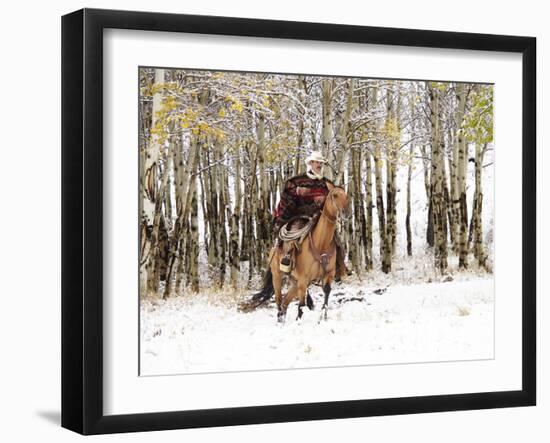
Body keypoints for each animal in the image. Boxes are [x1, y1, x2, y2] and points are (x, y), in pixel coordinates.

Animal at [245, 186, 352, 324]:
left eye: (346, 195)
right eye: (334, 195)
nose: (346, 213)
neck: (320, 243)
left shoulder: (328, 275)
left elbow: (326, 295)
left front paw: (323, 318)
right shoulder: (303, 279)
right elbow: (301, 305)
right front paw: (299, 322)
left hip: (295, 281)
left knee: (285, 302)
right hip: (277, 276)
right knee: (279, 299)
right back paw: (280, 320)